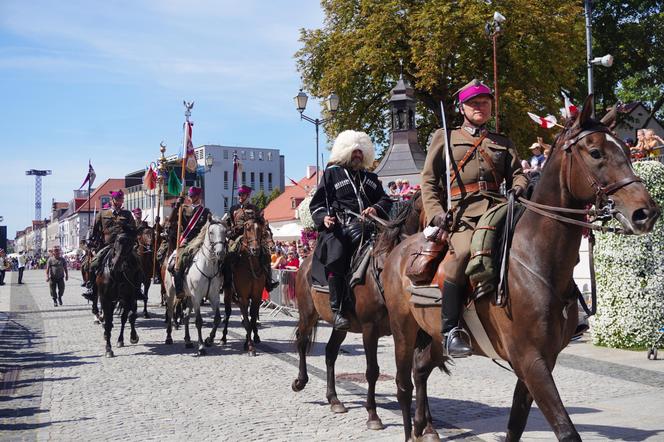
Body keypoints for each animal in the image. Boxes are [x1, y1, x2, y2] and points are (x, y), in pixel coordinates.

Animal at [164, 219, 227, 358]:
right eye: (211, 232)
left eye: (225, 232)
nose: (220, 253)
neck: (207, 267)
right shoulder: (197, 297)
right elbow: (198, 321)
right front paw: (201, 347)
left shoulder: (214, 297)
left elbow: (217, 319)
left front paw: (209, 339)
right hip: (172, 294)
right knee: (170, 312)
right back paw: (169, 338)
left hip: (189, 298)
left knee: (186, 317)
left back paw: (187, 341)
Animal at [292, 196, 426, 432]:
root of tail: (306, 263)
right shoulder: (370, 329)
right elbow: (372, 371)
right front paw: (373, 415)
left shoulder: (414, 333)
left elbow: (418, 374)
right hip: (308, 314)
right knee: (301, 341)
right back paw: (300, 381)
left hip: (340, 325)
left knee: (330, 352)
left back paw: (334, 399)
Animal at [378, 97, 660, 442]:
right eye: (595, 153)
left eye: (626, 149)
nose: (645, 212)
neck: (538, 262)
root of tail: (401, 248)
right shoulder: (531, 361)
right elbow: (566, 431)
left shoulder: (540, 362)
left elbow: (515, 424)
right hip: (402, 330)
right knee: (403, 384)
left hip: (432, 335)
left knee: (420, 370)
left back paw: (425, 428)